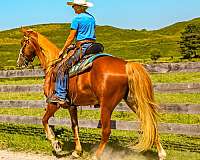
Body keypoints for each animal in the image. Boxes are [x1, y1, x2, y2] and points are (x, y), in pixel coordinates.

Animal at [17, 28, 166, 159]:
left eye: (23, 43)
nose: (19, 62)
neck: (52, 66)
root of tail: (126, 65)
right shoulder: (72, 106)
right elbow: (74, 126)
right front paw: (77, 151)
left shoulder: (54, 103)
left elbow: (44, 120)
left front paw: (56, 144)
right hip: (133, 101)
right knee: (150, 122)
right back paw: (161, 153)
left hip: (107, 106)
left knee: (106, 131)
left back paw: (96, 155)